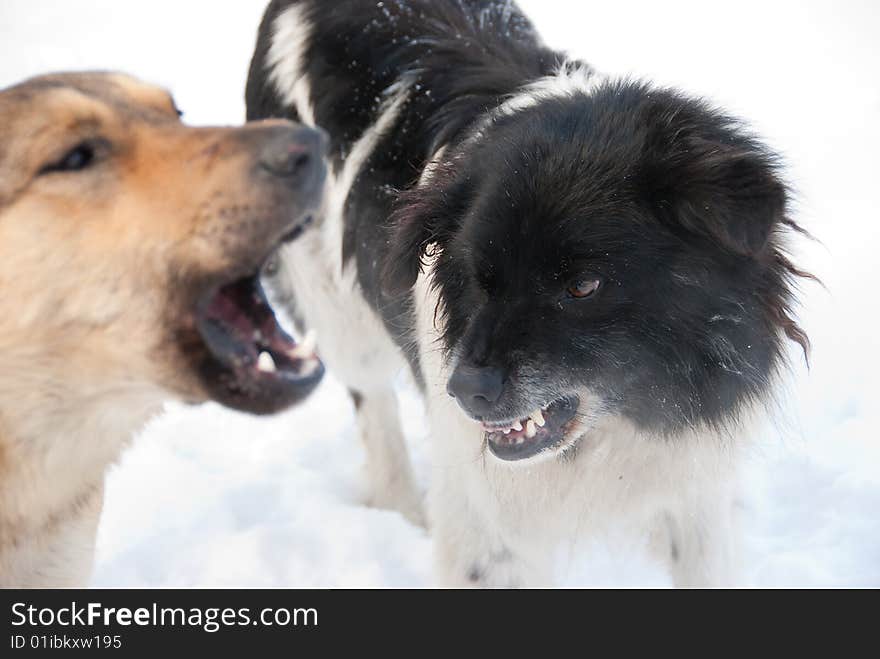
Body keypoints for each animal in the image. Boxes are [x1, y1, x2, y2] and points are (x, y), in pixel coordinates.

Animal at [244, 0, 808, 588]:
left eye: (583, 285)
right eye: (478, 278)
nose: (465, 390)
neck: (616, 426)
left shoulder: (696, 496)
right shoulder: (488, 530)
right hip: (337, 310)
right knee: (372, 401)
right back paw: (401, 509)